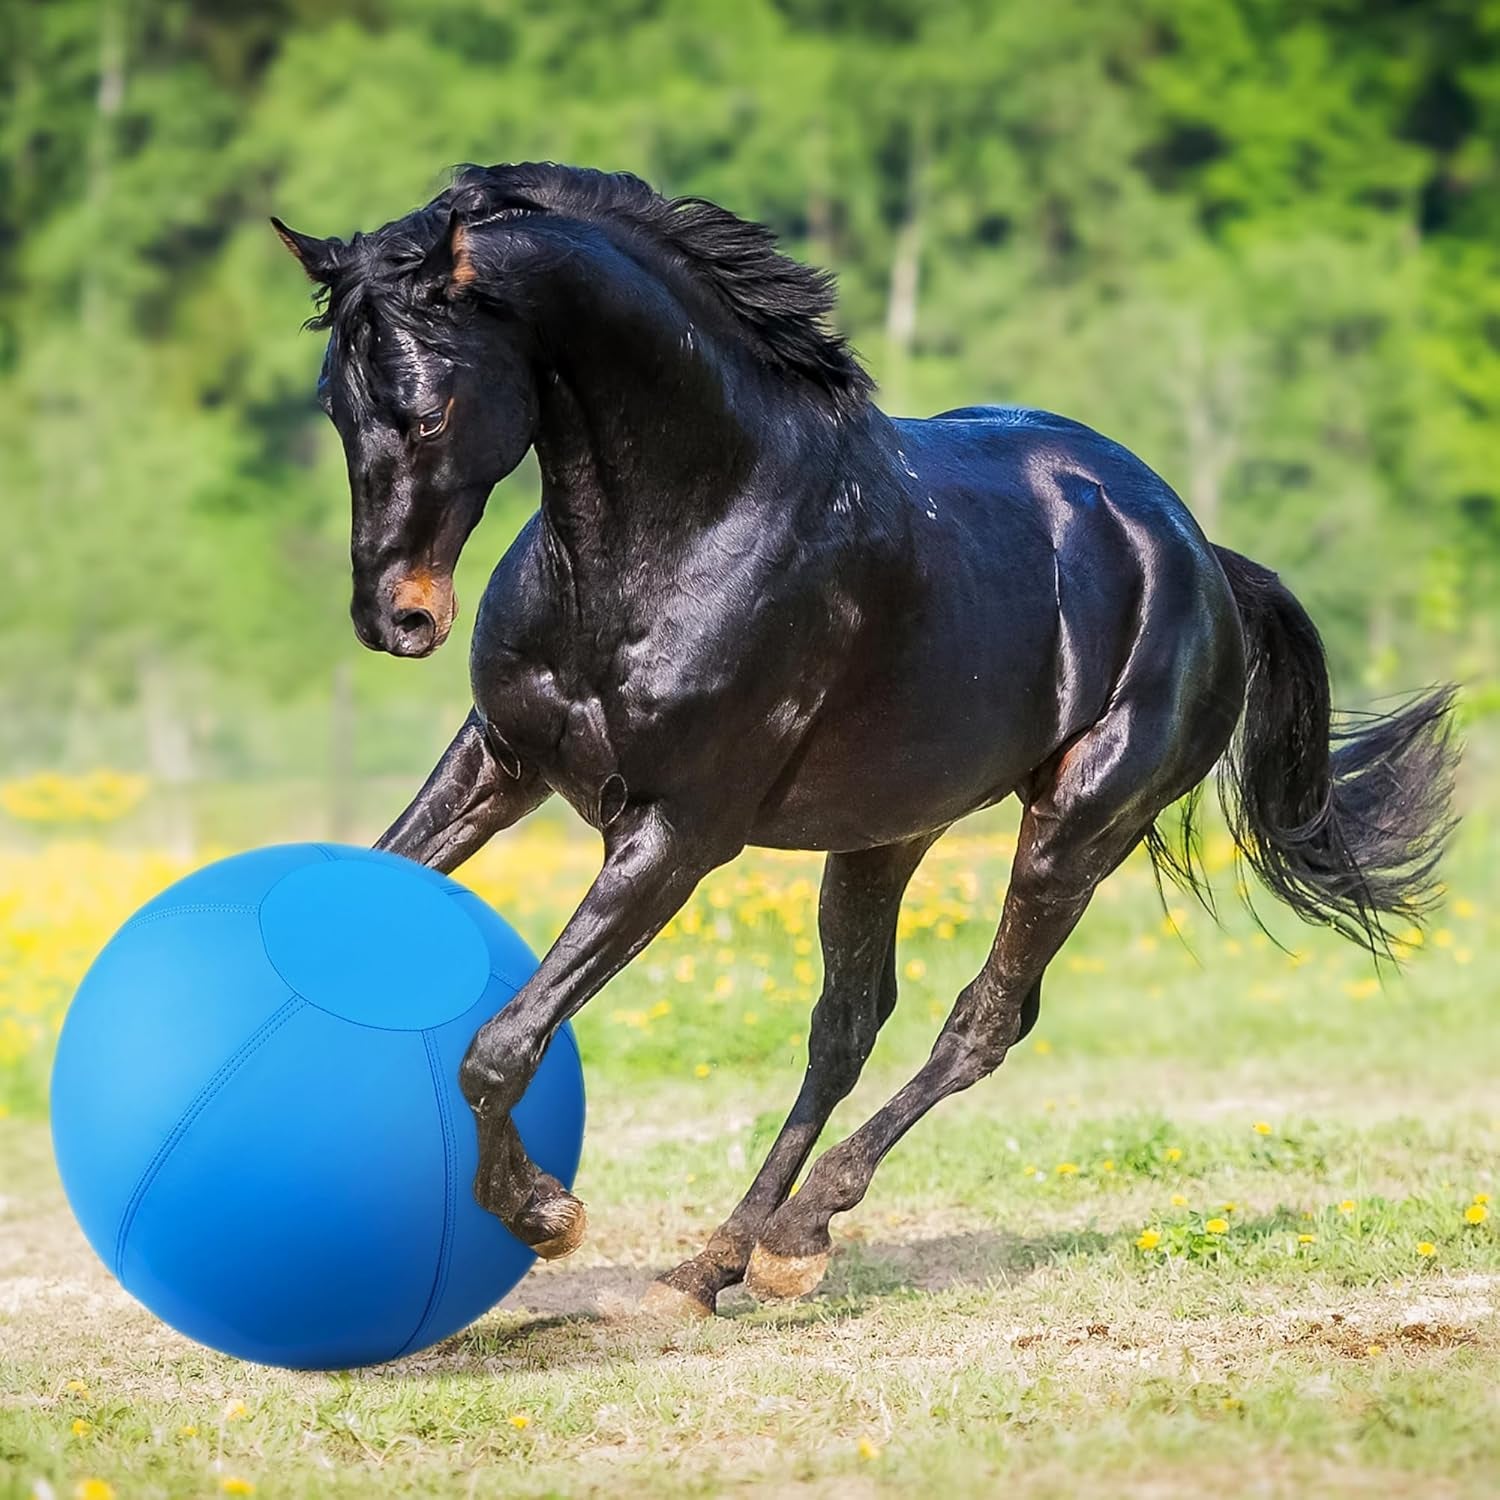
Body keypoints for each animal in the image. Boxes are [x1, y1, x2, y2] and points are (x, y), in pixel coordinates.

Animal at [276, 161, 1458, 1314]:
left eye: (427, 412)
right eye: (336, 406)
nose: (397, 619)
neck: (683, 523)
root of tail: (1203, 555)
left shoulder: (675, 836)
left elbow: (502, 1045)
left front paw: (543, 1214)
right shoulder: (501, 760)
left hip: (1081, 825)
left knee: (984, 1020)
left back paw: (797, 1237)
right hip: (885, 834)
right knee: (847, 1025)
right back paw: (714, 1264)